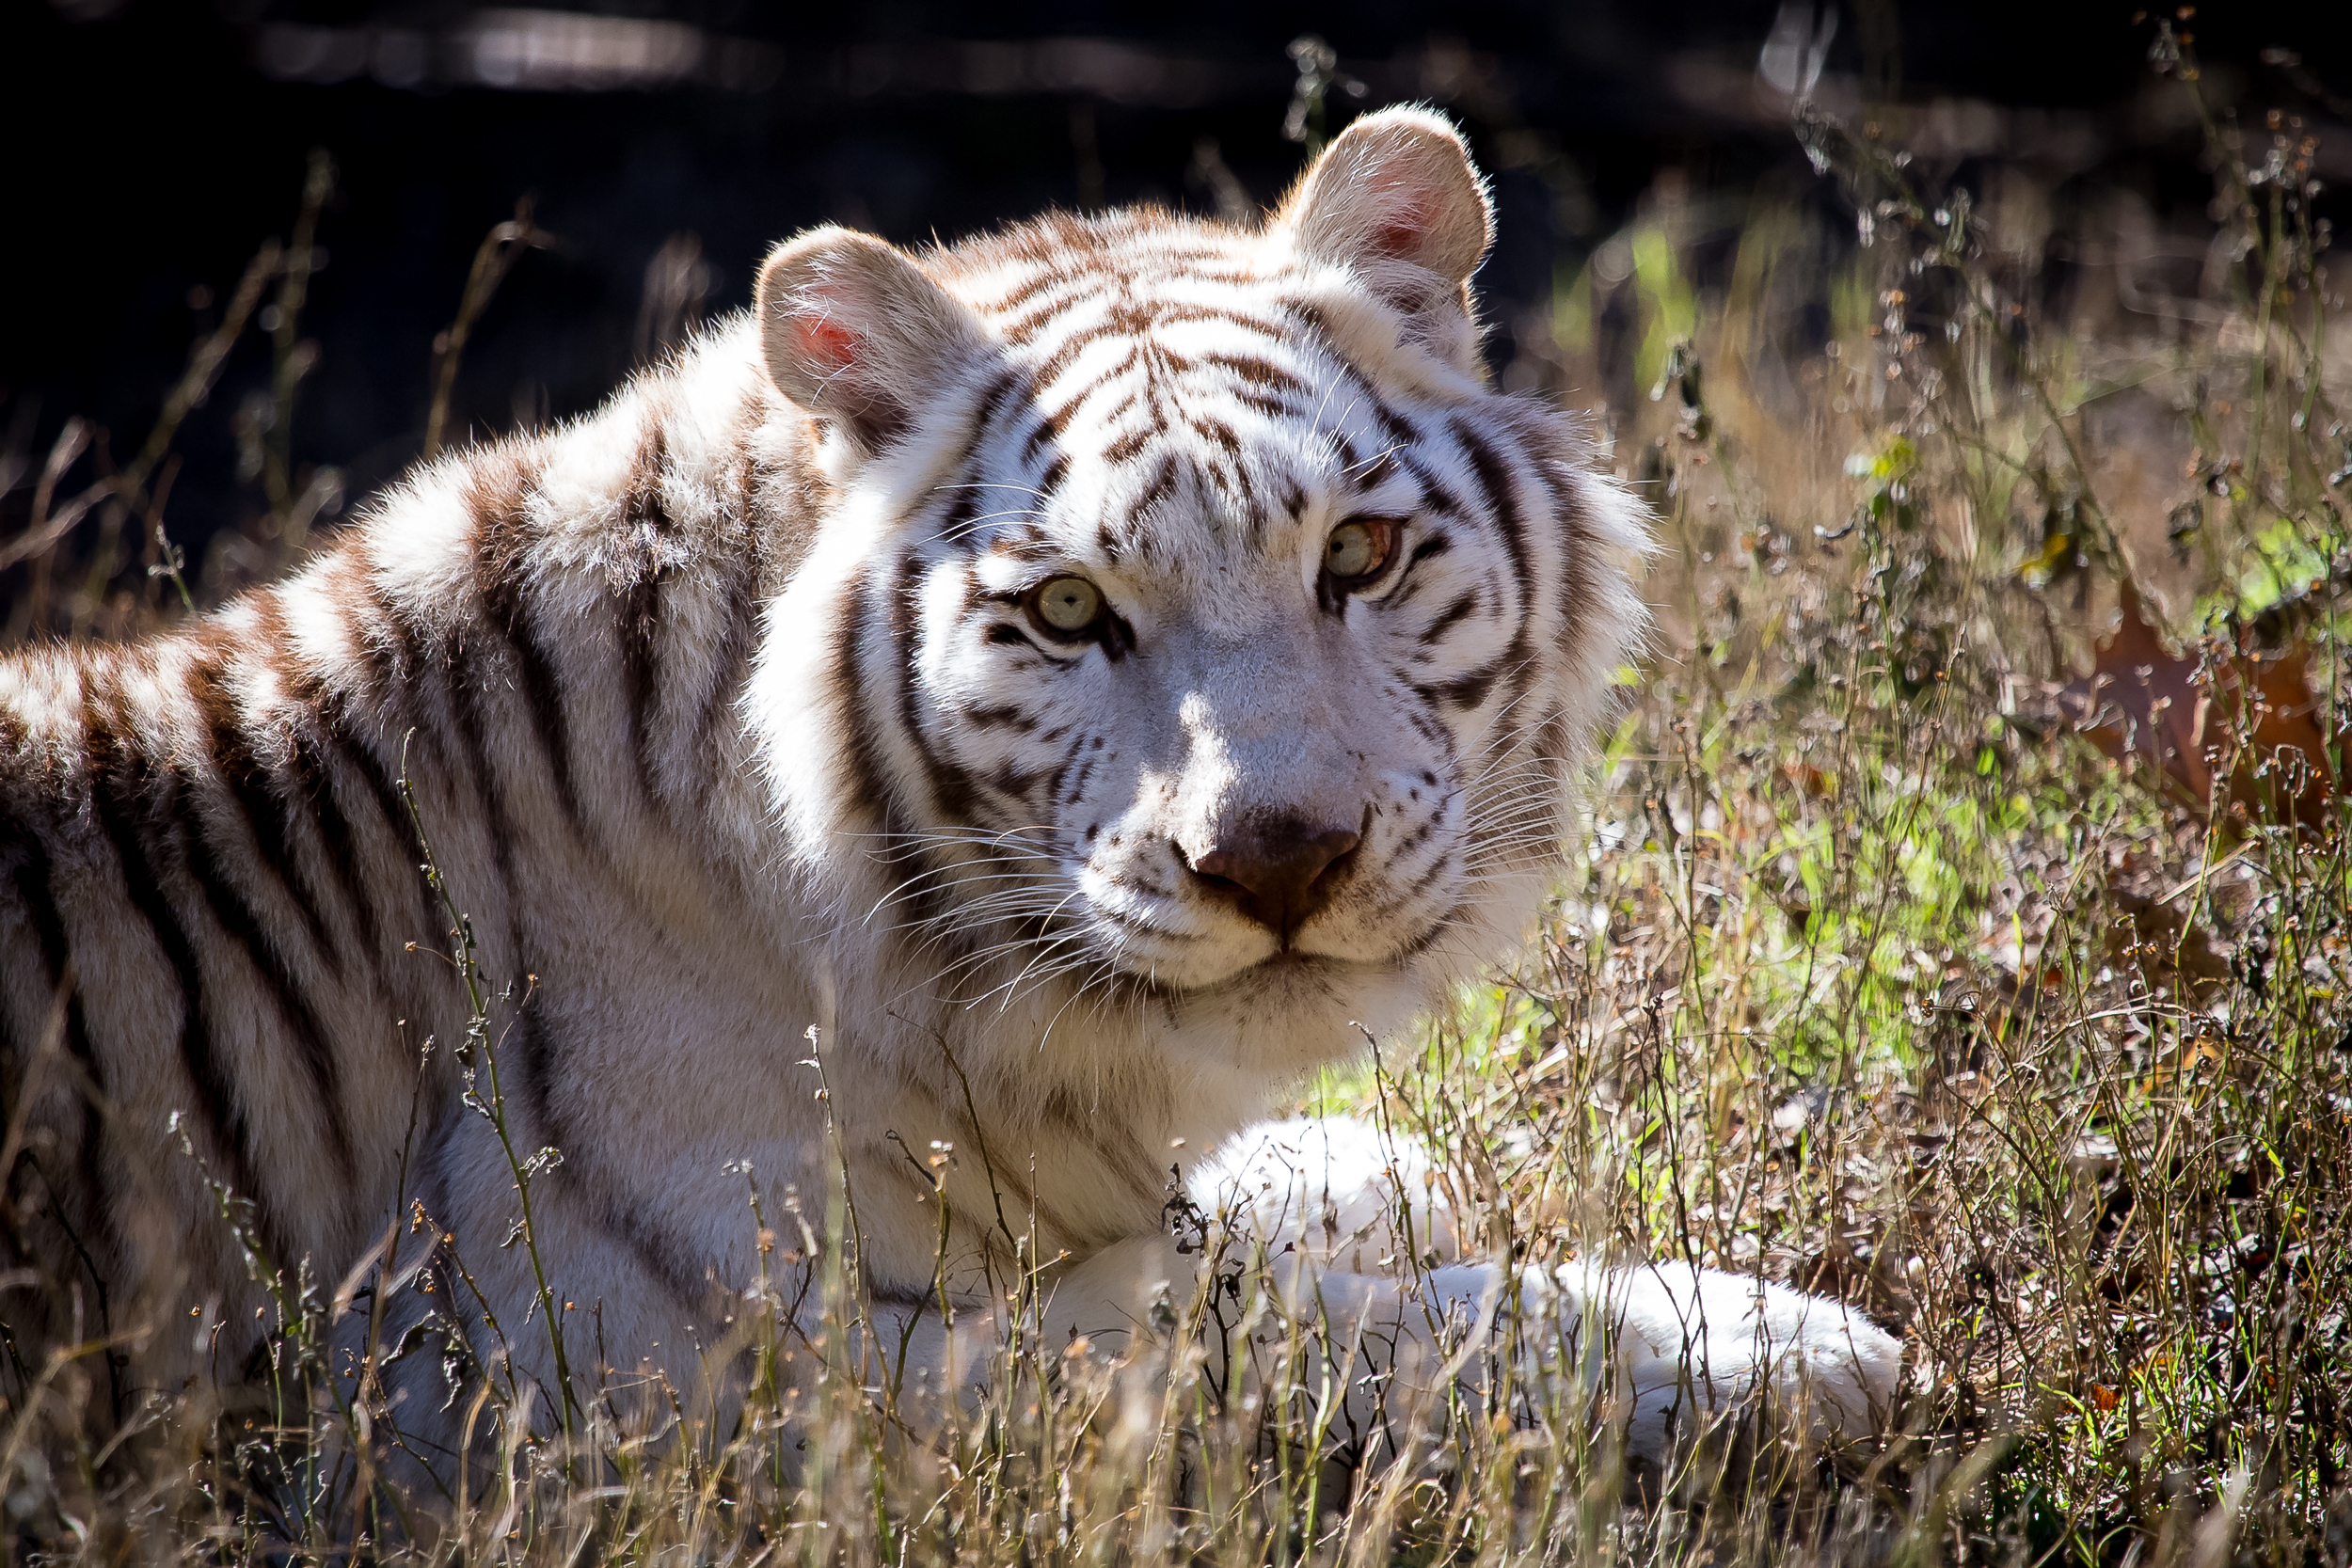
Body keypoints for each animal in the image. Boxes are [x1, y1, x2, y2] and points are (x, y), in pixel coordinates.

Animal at [0, 113, 1891, 1485]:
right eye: (1065, 608)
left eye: (1358, 554)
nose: (1281, 857)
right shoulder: (680, 1364)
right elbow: (1297, 1327)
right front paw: (1772, 1344)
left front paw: (1364, 1158)